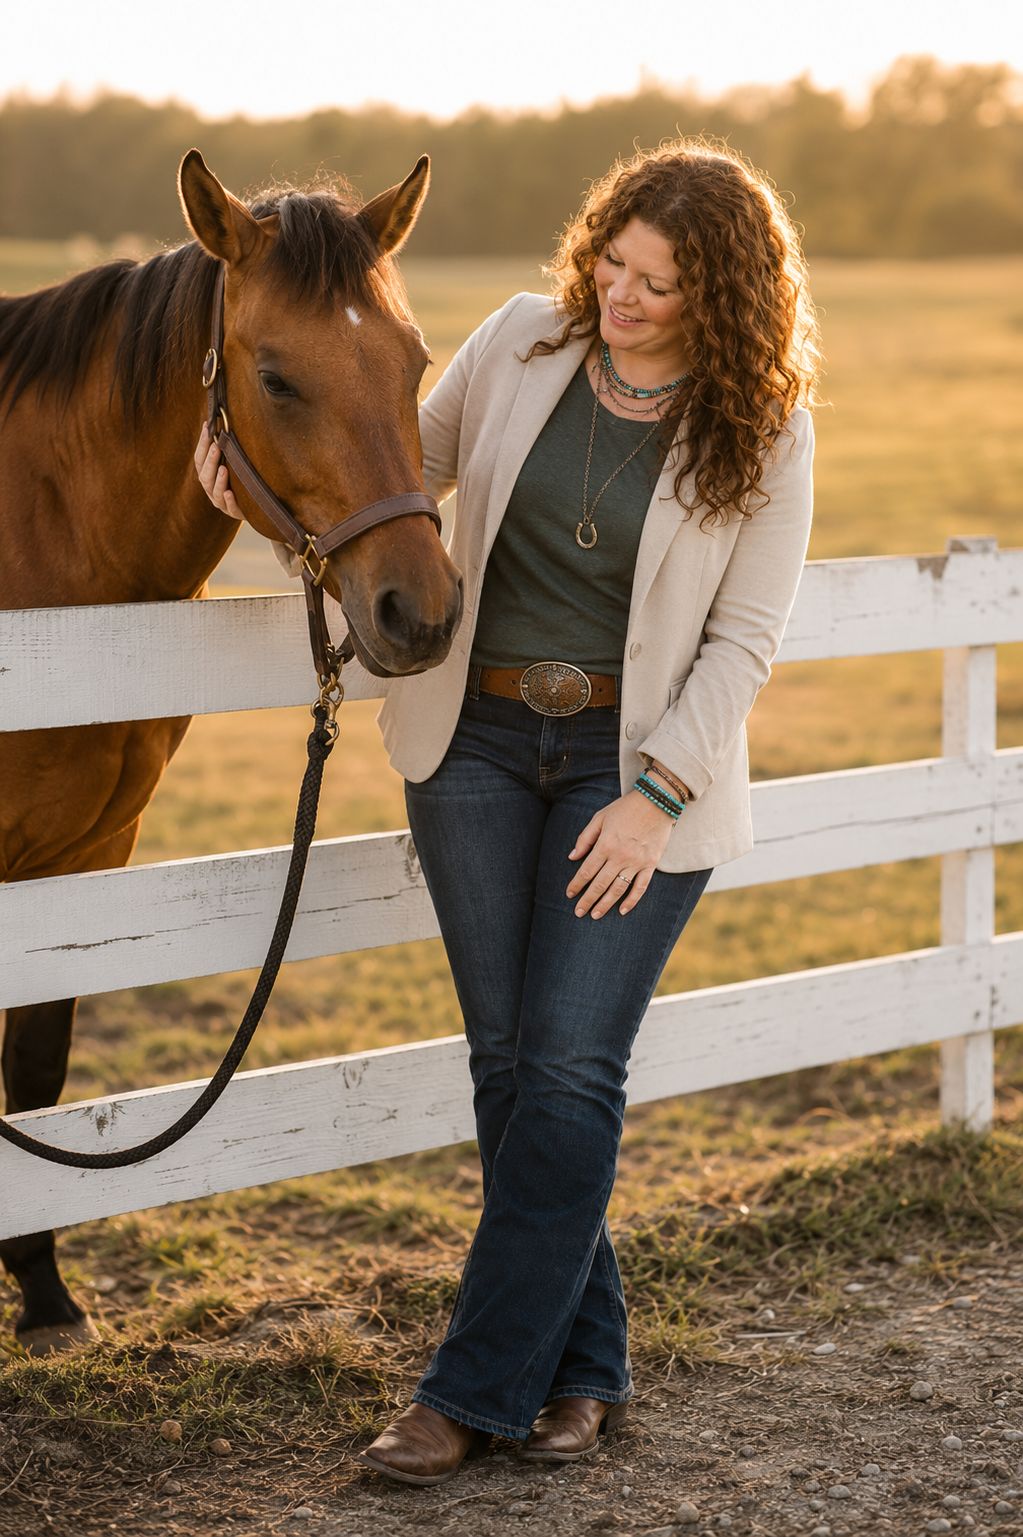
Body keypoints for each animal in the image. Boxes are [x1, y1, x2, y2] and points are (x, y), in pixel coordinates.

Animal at [0, 150, 463, 1354]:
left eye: (416, 361)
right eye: (276, 377)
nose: (421, 613)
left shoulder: (88, 856)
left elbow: (39, 1069)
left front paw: (46, 1295)